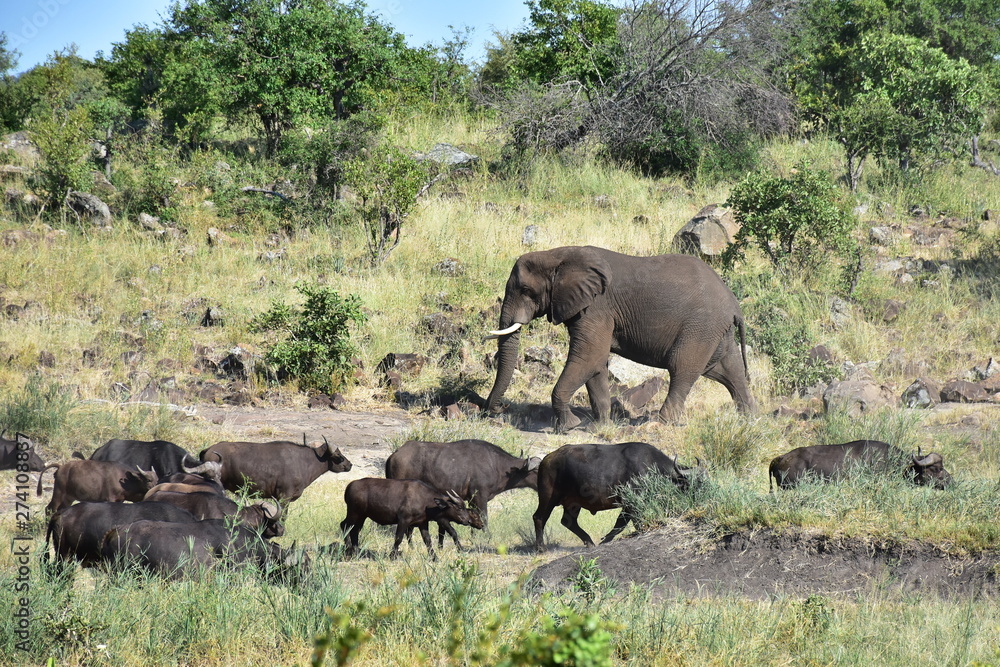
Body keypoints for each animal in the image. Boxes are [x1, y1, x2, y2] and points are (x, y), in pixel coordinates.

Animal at [482, 246, 754, 431]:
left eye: (526, 291)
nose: (500, 409)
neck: (558, 254)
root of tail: (735, 305)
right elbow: (596, 364)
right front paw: (599, 427)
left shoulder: (597, 307)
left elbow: (590, 357)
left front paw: (570, 426)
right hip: (716, 332)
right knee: (727, 372)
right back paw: (750, 420)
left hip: (700, 328)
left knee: (682, 369)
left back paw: (659, 424)